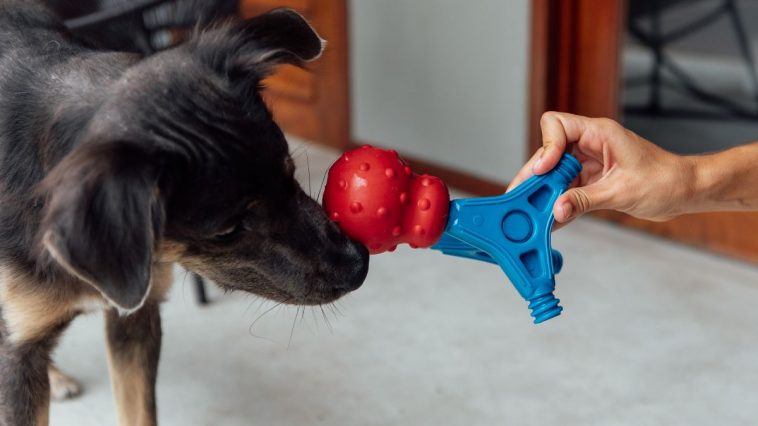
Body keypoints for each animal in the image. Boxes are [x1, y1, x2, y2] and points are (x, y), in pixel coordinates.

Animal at [0, 1, 372, 424]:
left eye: (290, 173)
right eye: (226, 229)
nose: (359, 265)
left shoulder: (134, 318)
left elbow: (139, 411)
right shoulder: (21, 350)